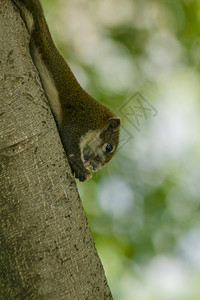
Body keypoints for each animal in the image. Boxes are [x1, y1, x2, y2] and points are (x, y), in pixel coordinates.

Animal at [13, 0, 121, 182]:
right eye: (109, 147)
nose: (96, 167)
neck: (98, 121)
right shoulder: (82, 121)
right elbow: (69, 138)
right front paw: (79, 168)